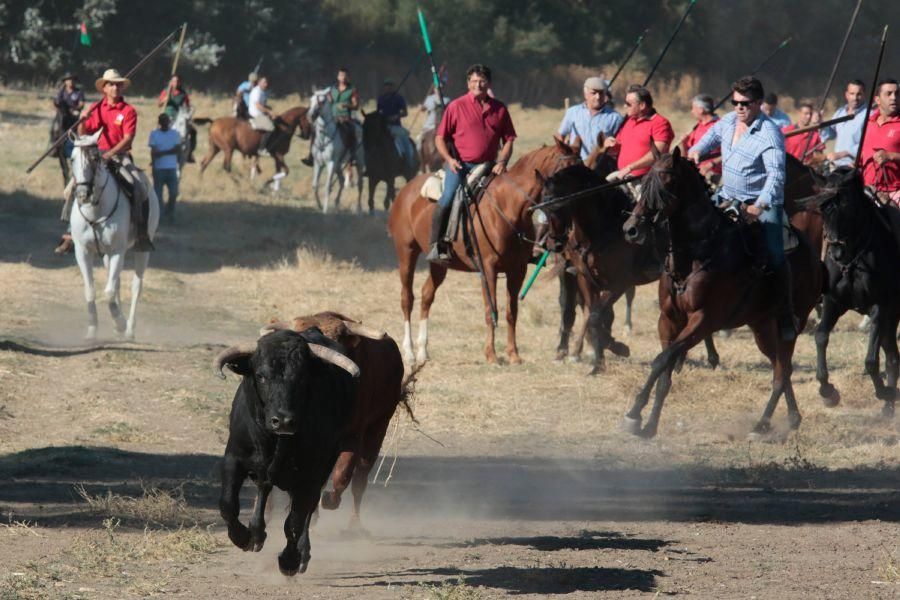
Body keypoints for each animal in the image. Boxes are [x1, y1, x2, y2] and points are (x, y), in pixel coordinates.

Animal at [68, 129, 160, 340]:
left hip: (142, 249)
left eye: (95, 158)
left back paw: (129, 329)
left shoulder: (118, 251)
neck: (96, 209)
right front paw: (92, 329)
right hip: (106, 255)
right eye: (72, 158)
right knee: (116, 282)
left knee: (136, 286)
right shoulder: (83, 252)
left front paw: (120, 322)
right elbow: (91, 290)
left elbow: (109, 291)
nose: (82, 194)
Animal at [388, 141, 584, 366]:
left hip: (438, 264)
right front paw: (491, 354)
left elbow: (511, 312)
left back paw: (423, 351)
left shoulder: (517, 270)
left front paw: (513, 354)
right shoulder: (488, 270)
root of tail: (406, 191)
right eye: (566, 171)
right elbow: (491, 311)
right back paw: (410, 352)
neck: (509, 206)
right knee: (407, 298)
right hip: (407, 253)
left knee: (427, 295)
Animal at [620, 149, 824, 440]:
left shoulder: (704, 321)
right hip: (761, 326)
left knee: (782, 370)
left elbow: (662, 361)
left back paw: (761, 425)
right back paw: (792, 418)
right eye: (644, 181)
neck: (698, 253)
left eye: (666, 184)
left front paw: (634, 414)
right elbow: (665, 371)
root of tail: (815, 258)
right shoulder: (668, 320)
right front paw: (648, 424)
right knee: (780, 367)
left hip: (792, 324)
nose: (631, 229)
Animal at [800, 166, 900, 414]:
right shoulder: (833, 303)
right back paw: (888, 408)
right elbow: (821, 337)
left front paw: (884, 391)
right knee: (892, 355)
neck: (853, 260)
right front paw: (828, 392)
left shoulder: (879, 307)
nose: (836, 252)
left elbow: (871, 361)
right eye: (822, 208)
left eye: (847, 205)